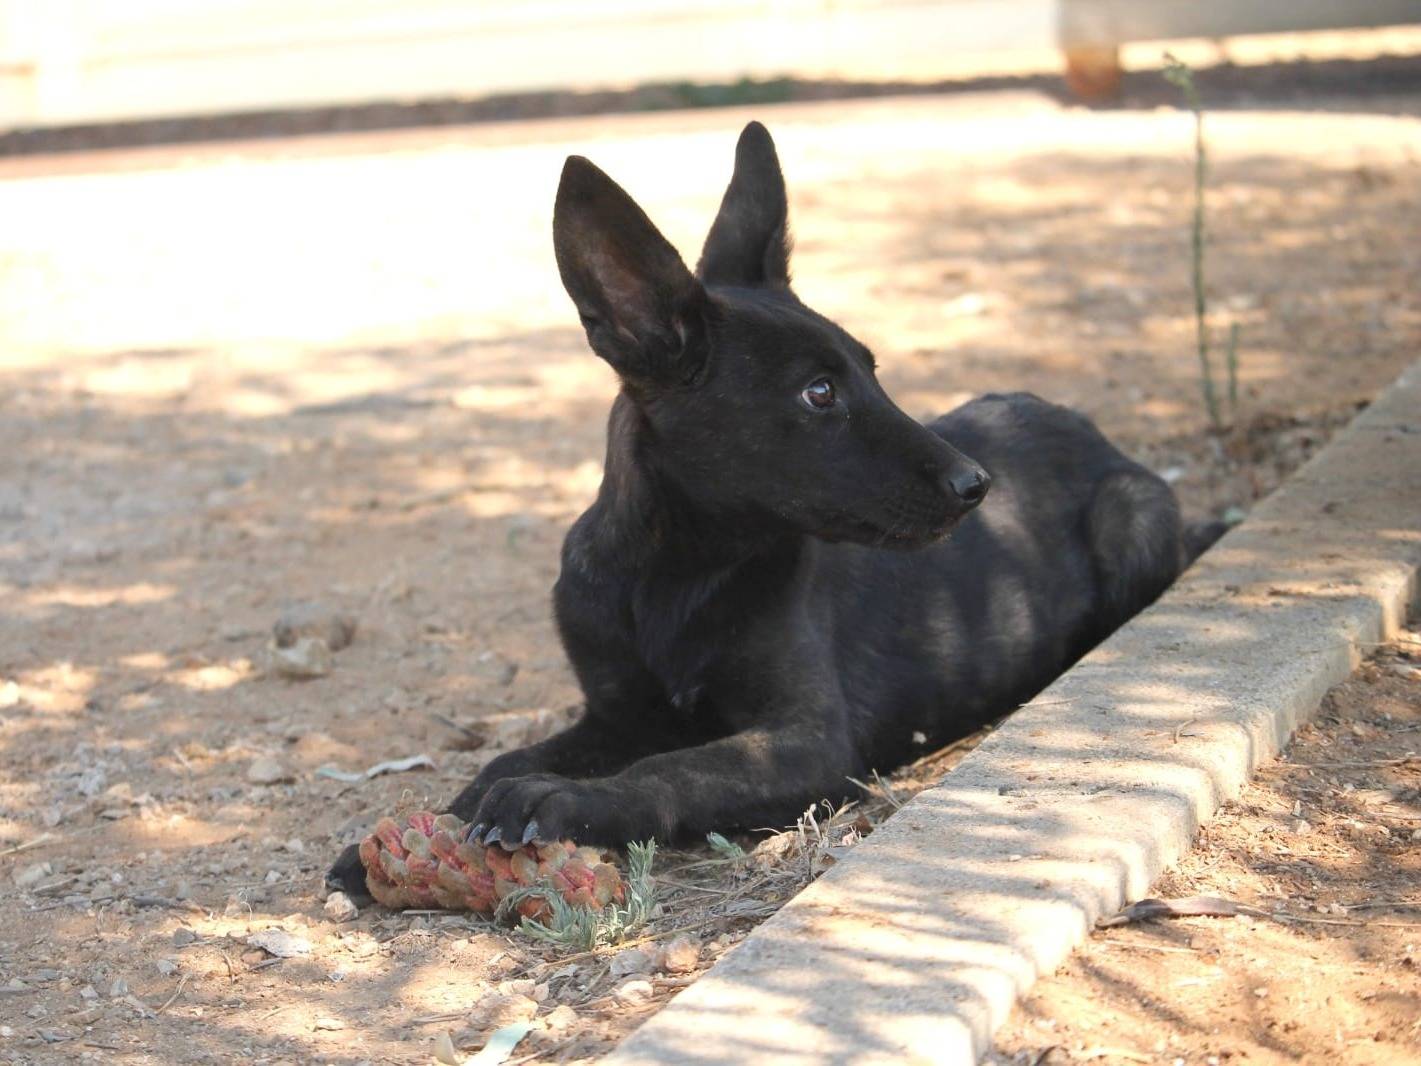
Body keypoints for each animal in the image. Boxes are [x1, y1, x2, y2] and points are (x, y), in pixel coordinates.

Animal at [326, 120, 1205, 898]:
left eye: (871, 371)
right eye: (818, 393)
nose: (975, 485)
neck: (674, 573)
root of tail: (1083, 426)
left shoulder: (808, 740)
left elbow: (680, 766)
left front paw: (571, 803)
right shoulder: (613, 716)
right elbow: (506, 760)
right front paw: (434, 823)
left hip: (1130, 517)